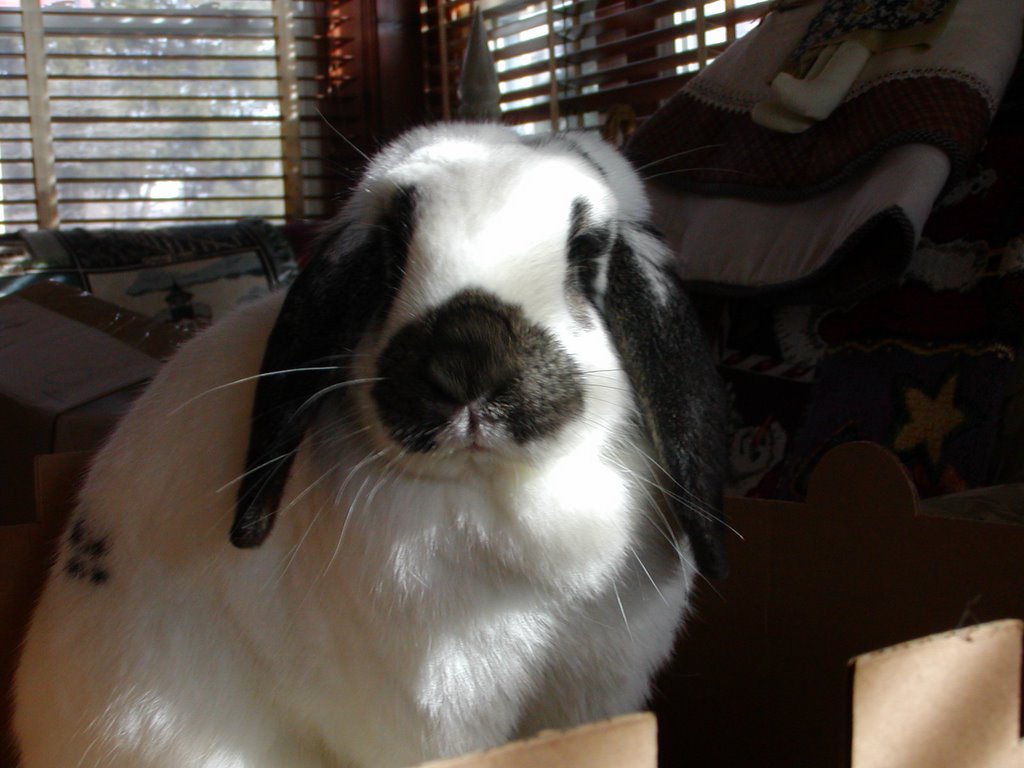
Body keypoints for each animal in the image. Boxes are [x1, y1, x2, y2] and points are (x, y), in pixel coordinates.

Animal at [13, 122, 729, 768]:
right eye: (391, 254)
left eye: (586, 251)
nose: (465, 361)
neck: (503, 494)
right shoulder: (436, 711)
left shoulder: (601, 689)